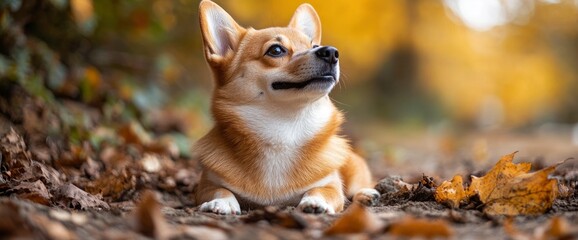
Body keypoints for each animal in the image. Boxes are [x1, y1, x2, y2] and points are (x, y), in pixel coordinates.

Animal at [194, 0, 376, 214]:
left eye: (314, 46)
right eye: (276, 50)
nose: (331, 52)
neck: (284, 128)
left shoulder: (331, 185)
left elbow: (322, 190)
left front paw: (315, 202)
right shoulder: (205, 184)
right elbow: (219, 190)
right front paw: (221, 202)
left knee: (361, 185)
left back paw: (368, 194)